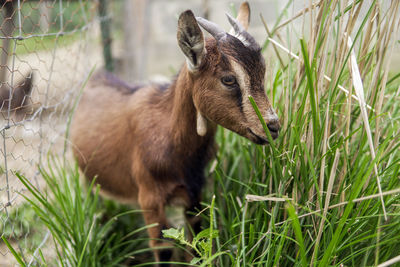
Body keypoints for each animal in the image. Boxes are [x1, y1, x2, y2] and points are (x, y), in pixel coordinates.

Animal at [71, 2, 278, 266]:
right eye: (229, 79)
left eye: (262, 71)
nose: (273, 126)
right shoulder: (150, 199)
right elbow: (163, 248)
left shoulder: (195, 193)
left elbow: (196, 241)